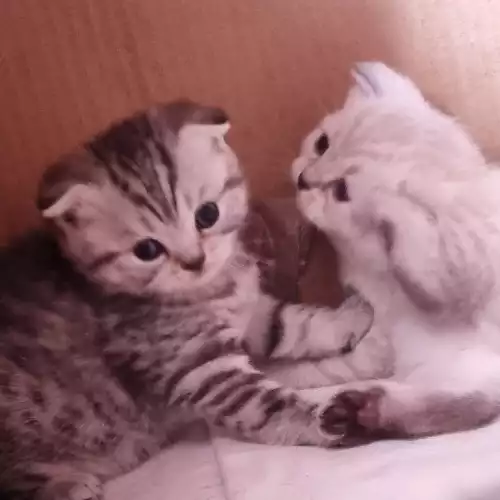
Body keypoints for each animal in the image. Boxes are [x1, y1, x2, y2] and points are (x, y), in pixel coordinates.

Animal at [0, 99, 374, 498]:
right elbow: (266, 404)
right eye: (147, 250)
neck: (210, 291)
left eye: (207, 214)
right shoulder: (201, 370)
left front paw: (348, 318)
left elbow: (290, 323)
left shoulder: (250, 313)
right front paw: (330, 421)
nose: (195, 261)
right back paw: (69, 485)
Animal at [292, 62, 500, 442]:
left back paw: (365, 411)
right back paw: (364, 413)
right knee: (474, 401)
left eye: (341, 191)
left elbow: (317, 366)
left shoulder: (381, 335)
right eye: (322, 144)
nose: (303, 179)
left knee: (474, 403)